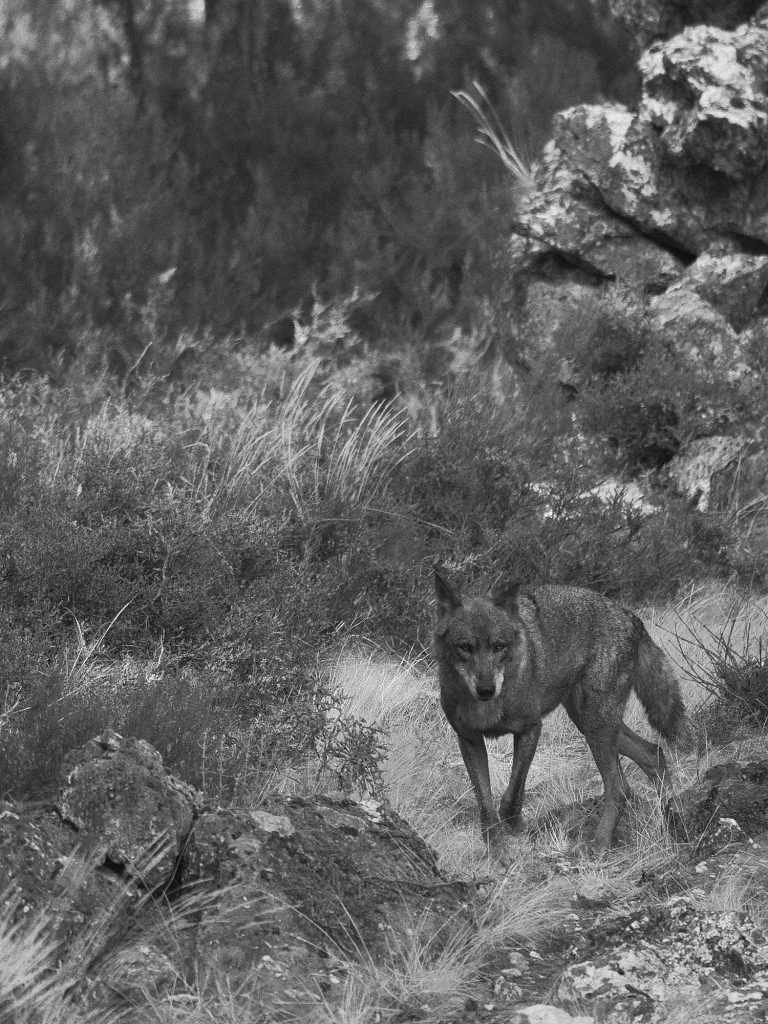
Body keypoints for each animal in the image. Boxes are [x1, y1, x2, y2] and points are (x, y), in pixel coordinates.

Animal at [433, 568, 685, 856]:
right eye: (465, 647)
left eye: (499, 646)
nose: (486, 689)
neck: (487, 707)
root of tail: (632, 617)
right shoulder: (469, 740)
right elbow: (485, 805)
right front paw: (495, 850)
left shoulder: (531, 729)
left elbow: (514, 790)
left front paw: (514, 824)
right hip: (589, 724)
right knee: (653, 753)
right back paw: (669, 815)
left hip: (596, 726)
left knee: (620, 787)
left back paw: (600, 844)